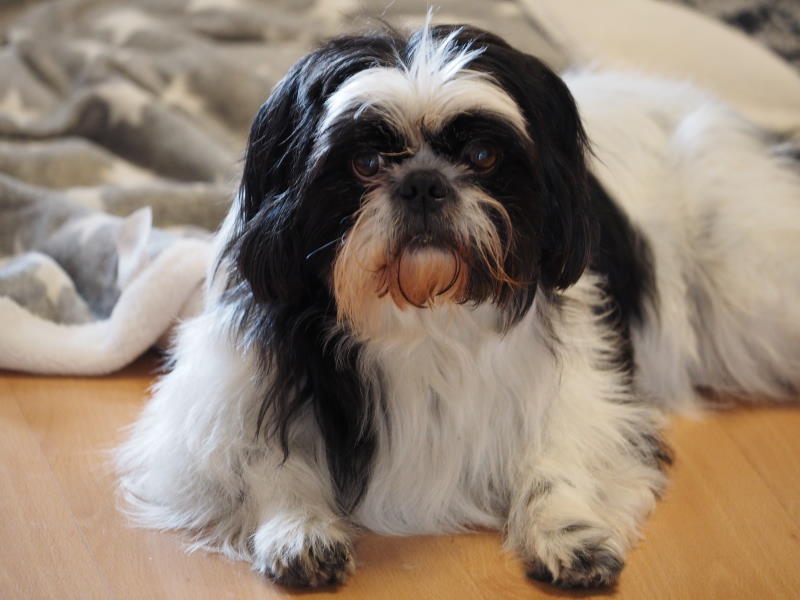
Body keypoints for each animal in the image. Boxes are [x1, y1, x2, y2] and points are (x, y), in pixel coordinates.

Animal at [115, 23, 800, 589]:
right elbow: (265, 463)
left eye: (482, 157)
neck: (420, 313)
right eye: (365, 162)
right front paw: (298, 527)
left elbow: (558, 459)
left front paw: (568, 529)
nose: (424, 182)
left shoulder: (591, 396)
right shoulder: (216, 409)